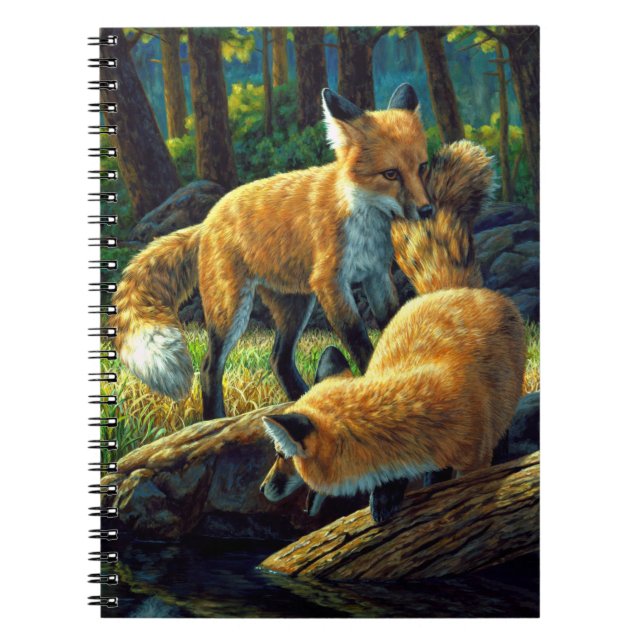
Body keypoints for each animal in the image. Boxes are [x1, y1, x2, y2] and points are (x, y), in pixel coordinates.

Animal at [111, 83, 432, 419]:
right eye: (390, 174)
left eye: (422, 167)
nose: (427, 210)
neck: (363, 219)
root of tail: (207, 220)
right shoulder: (331, 282)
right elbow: (359, 341)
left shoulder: (376, 275)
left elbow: (393, 321)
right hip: (232, 310)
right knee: (210, 366)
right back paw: (215, 417)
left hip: (296, 305)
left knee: (279, 359)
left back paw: (299, 403)